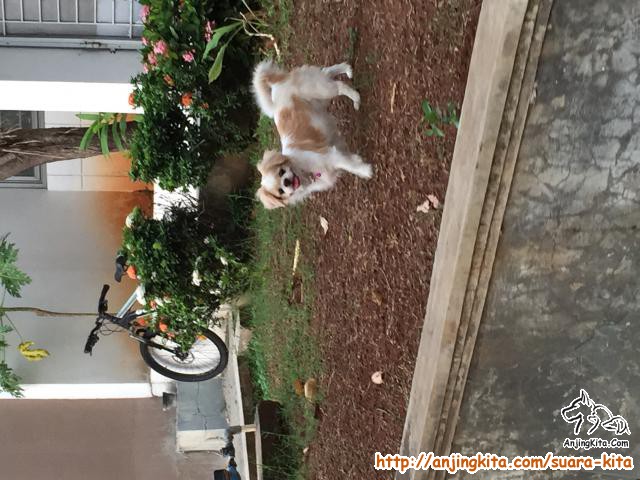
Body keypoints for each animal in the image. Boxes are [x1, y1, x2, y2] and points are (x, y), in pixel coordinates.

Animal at [252, 60, 373, 209]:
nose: (286, 182)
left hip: (321, 90)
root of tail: (276, 86)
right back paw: (348, 70)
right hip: (319, 97)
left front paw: (366, 171)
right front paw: (358, 160)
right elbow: (348, 157)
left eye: (281, 172)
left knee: (339, 86)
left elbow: (350, 166)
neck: (302, 170)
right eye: (281, 191)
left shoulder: (332, 157)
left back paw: (356, 98)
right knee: (326, 72)